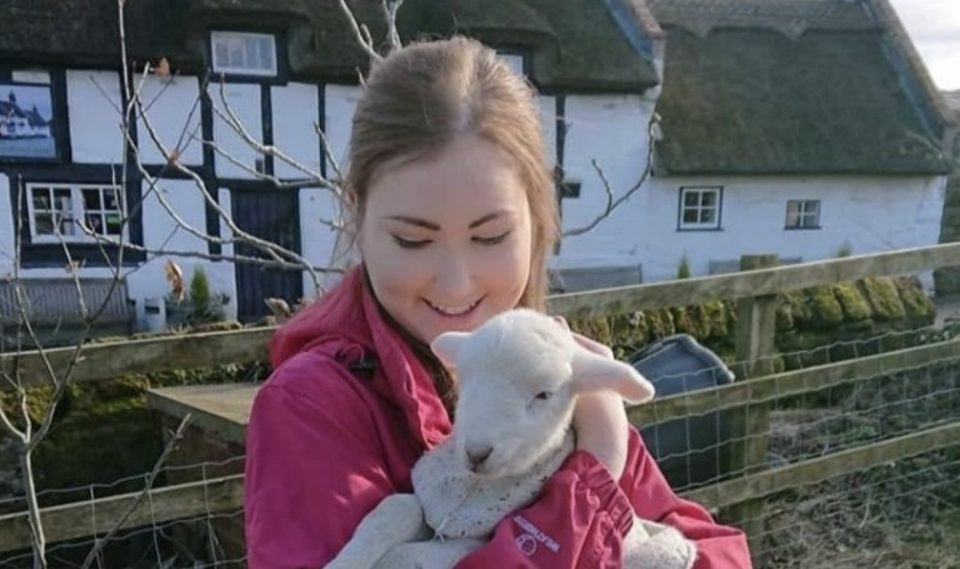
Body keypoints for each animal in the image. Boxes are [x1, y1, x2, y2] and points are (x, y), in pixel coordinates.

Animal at [324, 308, 696, 568]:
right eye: (464, 381)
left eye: (544, 395)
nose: (476, 452)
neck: (474, 490)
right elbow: (399, 507)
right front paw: (346, 561)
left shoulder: (472, 539)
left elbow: (422, 555)